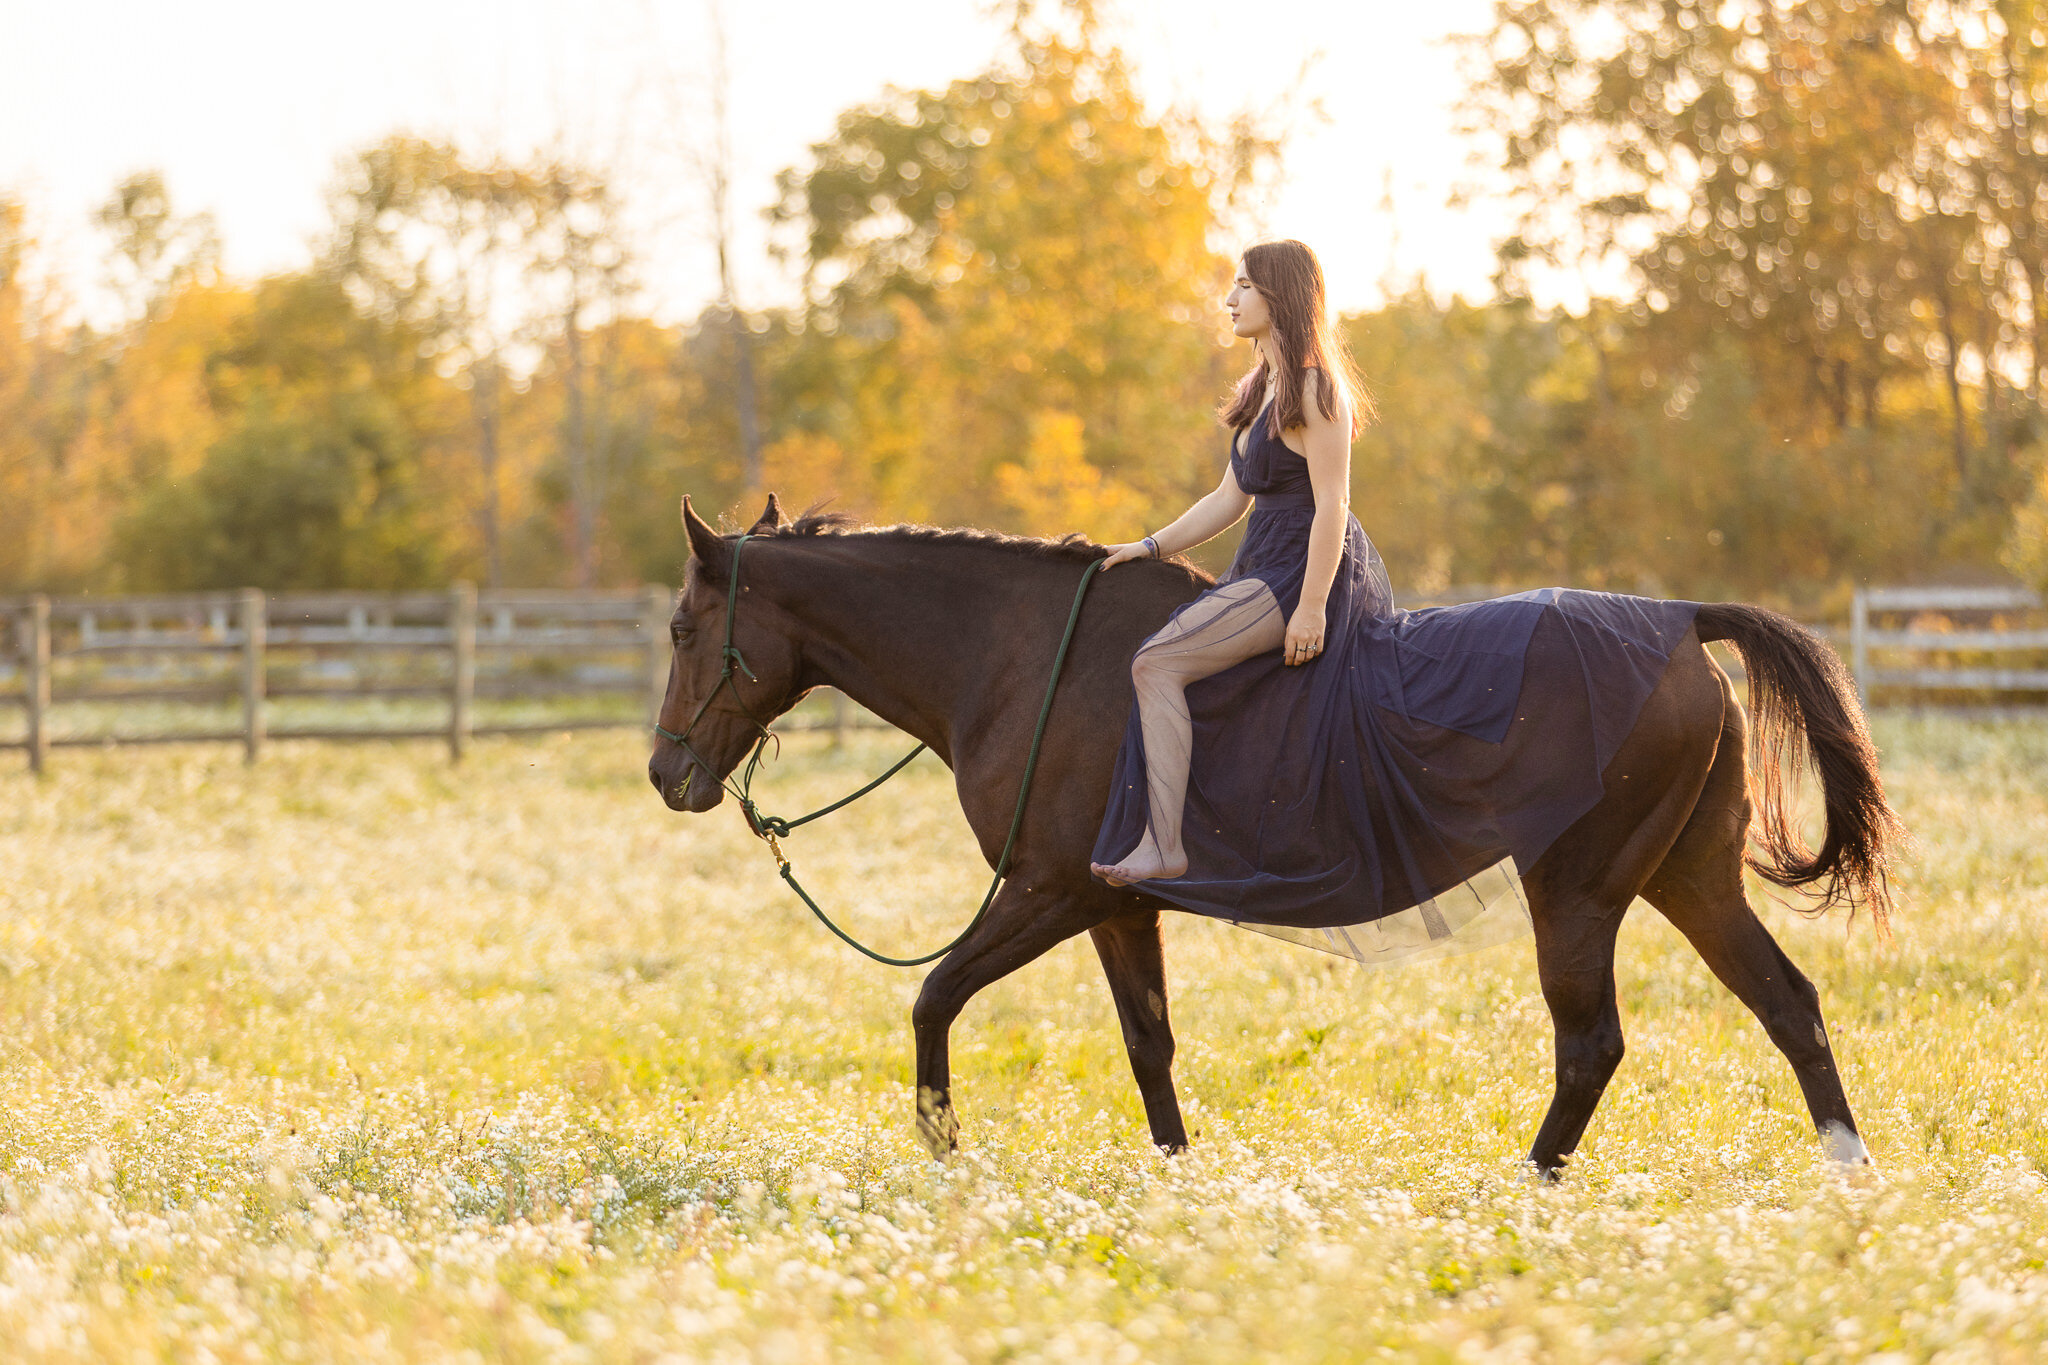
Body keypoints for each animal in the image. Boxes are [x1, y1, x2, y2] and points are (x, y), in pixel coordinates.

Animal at [643, 497, 1900, 1178]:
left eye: (682, 626)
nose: (664, 772)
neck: (1028, 660)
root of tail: (1677, 621)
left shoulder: (1047, 894)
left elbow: (932, 999)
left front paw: (944, 1151)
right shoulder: (1113, 910)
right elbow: (1148, 1046)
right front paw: (1177, 1177)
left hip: (1576, 892)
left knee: (1589, 1046)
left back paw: (1525, 1185)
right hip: (1685, 881)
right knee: (1787, 1004)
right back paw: (1846, 1170)